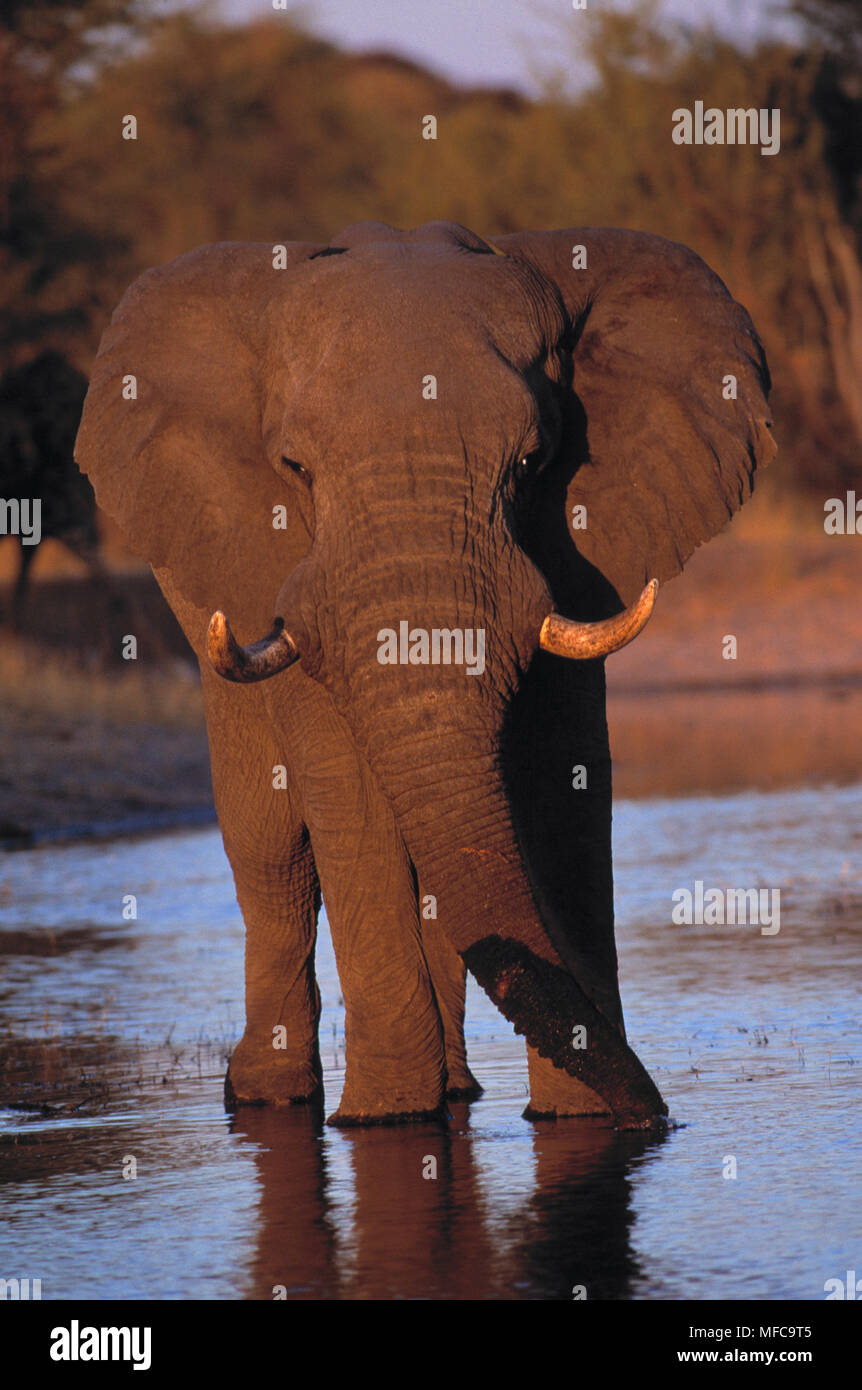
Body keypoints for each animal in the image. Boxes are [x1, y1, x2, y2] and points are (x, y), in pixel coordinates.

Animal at [75, 216, 773, 1128]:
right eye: (295, 471)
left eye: (532, 463)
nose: (659, 1117)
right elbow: (348, 796)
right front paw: (384, 1122)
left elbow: (563, 781)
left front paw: (575, 1121)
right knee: (271, 849)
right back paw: (271, 1097)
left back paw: (457, 1090)